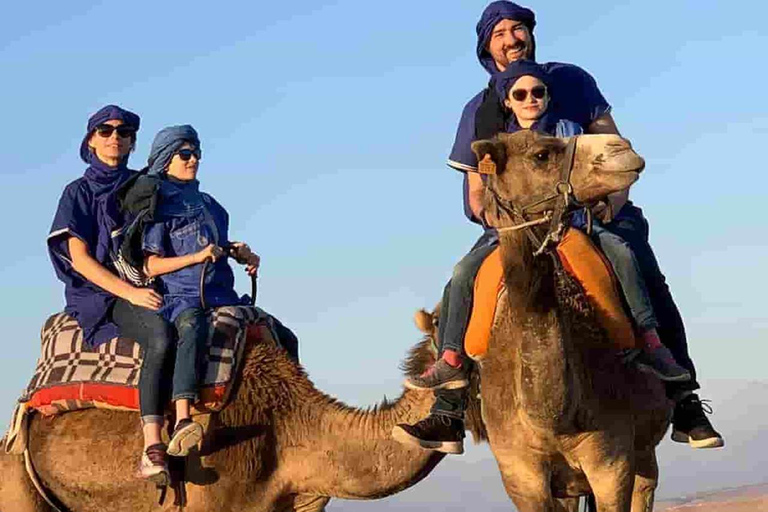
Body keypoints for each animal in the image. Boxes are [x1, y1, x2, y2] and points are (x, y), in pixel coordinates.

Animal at [450, 132, 672, 512]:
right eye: (542, 155)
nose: (621, 146)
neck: (551, 420)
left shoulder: (612, 462)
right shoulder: (520, 476)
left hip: (642, 452)